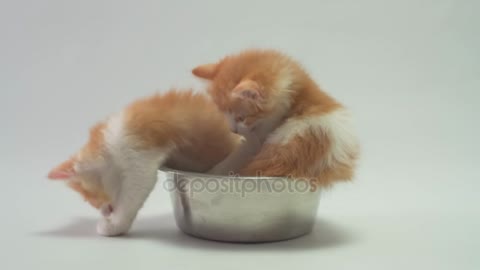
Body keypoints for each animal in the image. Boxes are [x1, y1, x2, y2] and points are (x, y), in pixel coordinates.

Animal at [48, 89, 240, 235]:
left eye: (90, 198)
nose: (103, 209)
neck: (109, 143)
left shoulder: (137, 156)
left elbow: (131, 196)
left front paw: (114, 225)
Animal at [193, 48, 358, 187]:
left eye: (241, 118)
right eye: (223, 114)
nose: (233, 131)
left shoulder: (259, 138)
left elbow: (239, 152)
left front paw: (213, 171)